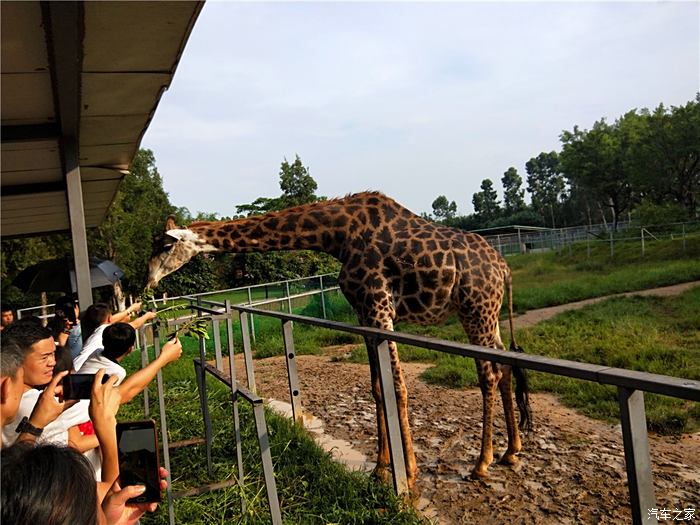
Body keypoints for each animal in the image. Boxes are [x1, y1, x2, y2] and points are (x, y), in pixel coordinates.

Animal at [146, 190, 532, 490]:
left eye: (164, 246)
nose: (147, 280)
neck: (336, 235)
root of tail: (504, 268)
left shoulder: (379, 306)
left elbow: (397, 387)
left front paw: (408, 474)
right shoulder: (365, 314)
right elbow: (377, 388)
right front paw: (380, 470)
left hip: (475, 309)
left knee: (489, 373)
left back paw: (482, 463)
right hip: (488, 313)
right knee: (505, 365)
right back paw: (511, 452)